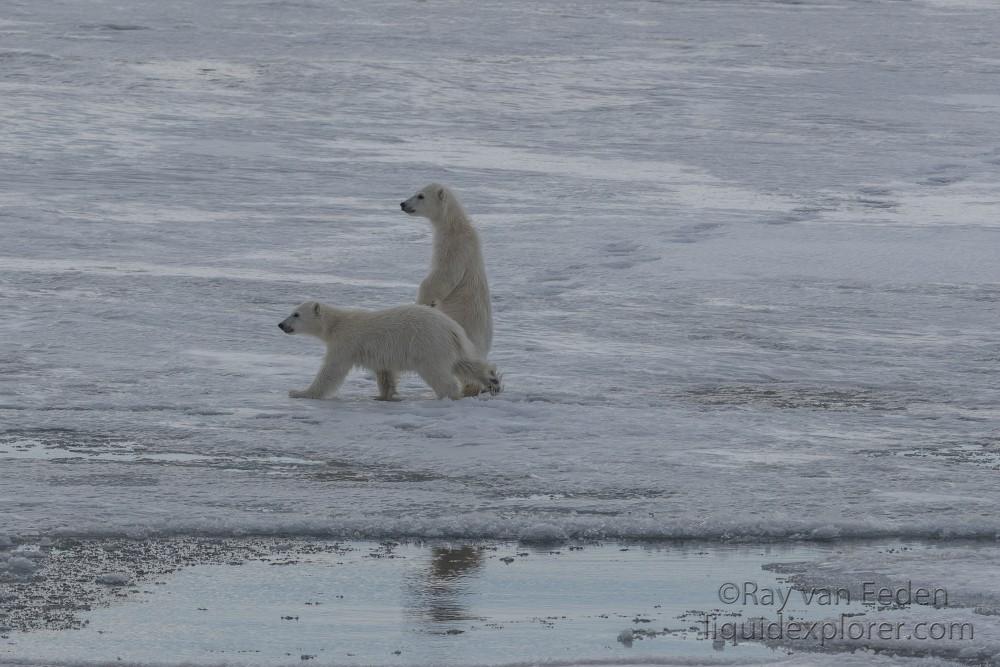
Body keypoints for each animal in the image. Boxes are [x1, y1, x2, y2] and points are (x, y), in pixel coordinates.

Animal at [280, 302, 498, 402]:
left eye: (296, 314)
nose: (281, 325)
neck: (336, 324)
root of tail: (452, 328)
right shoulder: (379, 354)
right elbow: (385, 374)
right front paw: (383, 396)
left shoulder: (346, 342)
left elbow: (331, 370)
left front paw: (300, 392)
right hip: (450, 345)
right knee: (465, 363)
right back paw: (493, 379)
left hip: (428, 344)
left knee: (438, 373)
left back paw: (447, 395)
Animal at [376, 185, 494, 400]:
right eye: (416, 192)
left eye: (420, 196)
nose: (402, 204)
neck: (454, 223)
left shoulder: (454, 246)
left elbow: (441, 277)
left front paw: (422, 302)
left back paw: (468, 389)